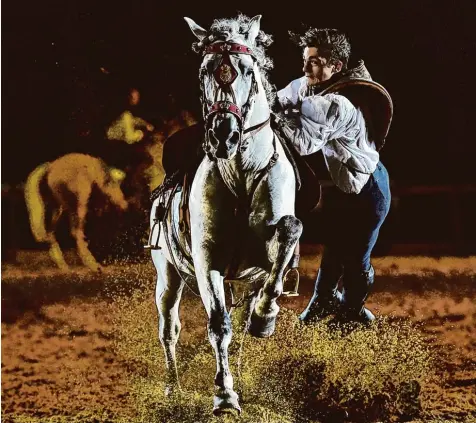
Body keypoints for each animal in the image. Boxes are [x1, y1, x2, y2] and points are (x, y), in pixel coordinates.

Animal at [150, 14, 302, 416]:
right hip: (167, 275)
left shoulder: (265, 256)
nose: (224, 136)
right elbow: (219, 324)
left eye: (247, 69)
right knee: (169, 327)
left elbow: (288, 233)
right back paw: (173, 388)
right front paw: (224, 396)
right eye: (205, 69)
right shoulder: (208, 263)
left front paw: (265, 317)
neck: (243, 172)